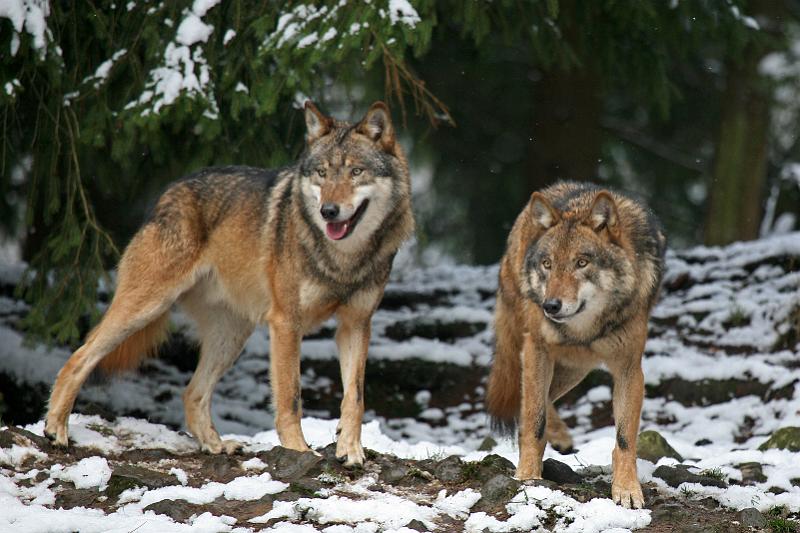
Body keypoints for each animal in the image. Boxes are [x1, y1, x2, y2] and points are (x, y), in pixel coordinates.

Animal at [43, 101, 412, 466]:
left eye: (356, 172)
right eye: (322, 173)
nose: (329, 211)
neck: (344, 261)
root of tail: (168, 193)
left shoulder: (356, 324)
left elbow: (355, 397)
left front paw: (350, 450)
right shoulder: (286, 324)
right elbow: (290, 397)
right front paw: (298, 451)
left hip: (231, 335)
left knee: (192, 393)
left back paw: (216, 446)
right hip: (146, 308)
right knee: (78, 358)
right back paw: (55, 429)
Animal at [484, 182, 664, 508]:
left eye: (582, 263)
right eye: (548, 264)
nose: (550, 306)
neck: (585, 328)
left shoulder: (629, 369)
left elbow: (625, 438)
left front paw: (627, 490)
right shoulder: (536, 349)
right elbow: (534, 420)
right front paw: (527, 477)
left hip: (576, 369)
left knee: (538, 399)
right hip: (537, 353)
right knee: (529, 403)